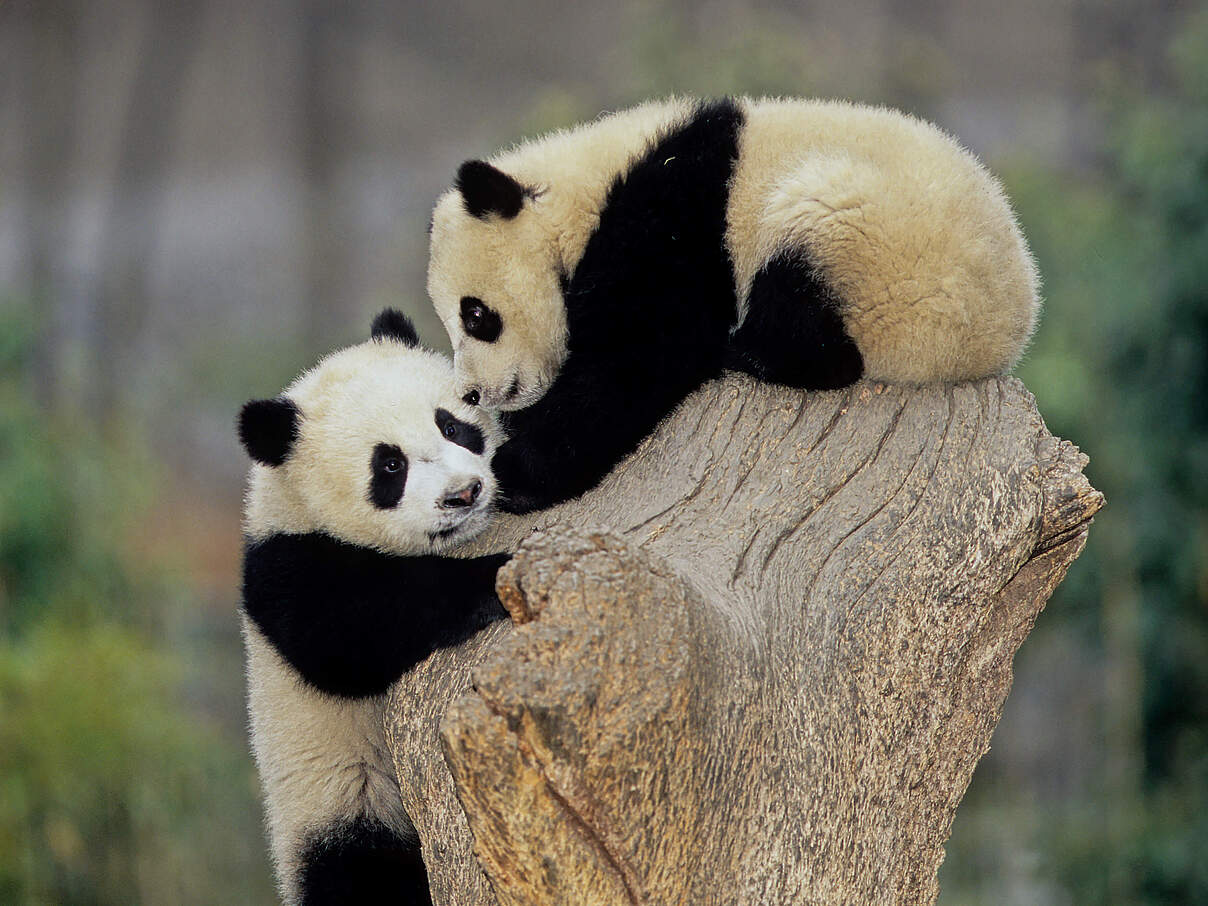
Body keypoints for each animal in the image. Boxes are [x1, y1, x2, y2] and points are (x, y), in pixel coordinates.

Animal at [237, 308, 508, 905]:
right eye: (389, 465)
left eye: (450, 425)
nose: (464, 493)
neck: (296, 503)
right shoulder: (285, 568)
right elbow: (352, 636)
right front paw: (497, 572)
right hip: (344, 809)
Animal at [427, 96, 1040, 513]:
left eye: (475, 316)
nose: (473, 393)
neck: (581, 193)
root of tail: (1005, 334)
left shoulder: (671, 217)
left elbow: (644, 352)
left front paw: (519, 470)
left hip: (887, 252)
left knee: (813, 291)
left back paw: (748, 353)